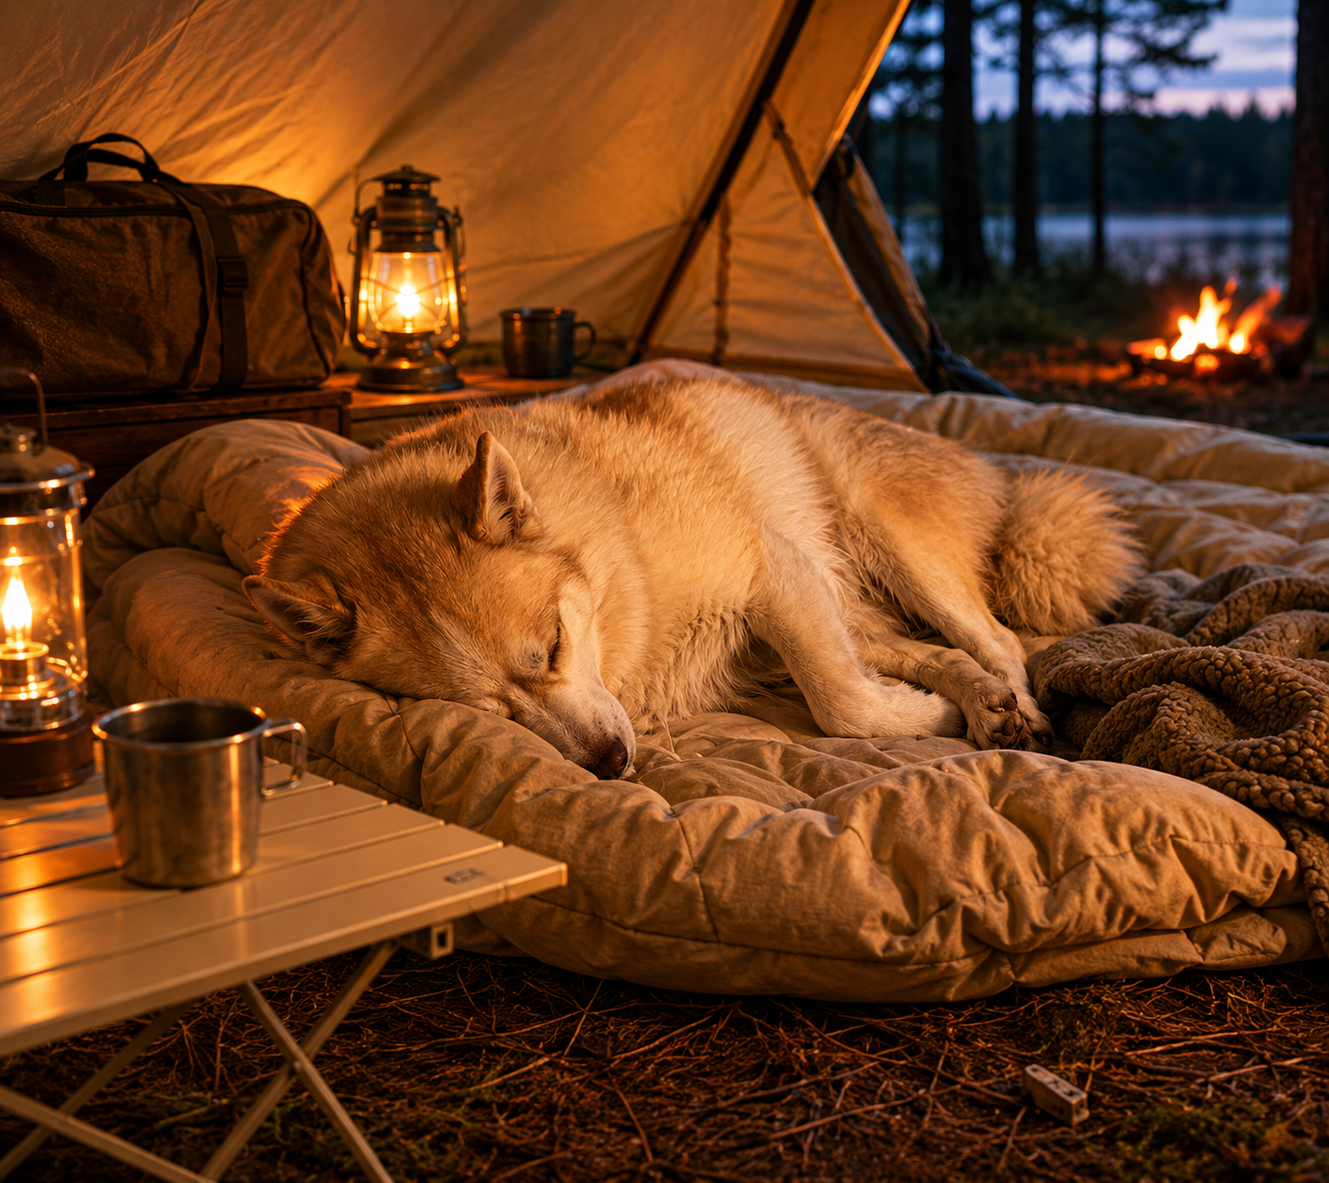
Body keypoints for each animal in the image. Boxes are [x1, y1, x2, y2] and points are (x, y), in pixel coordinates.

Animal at [243, 377, 1142, 779]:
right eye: (488, 710)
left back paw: (1020, 712)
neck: (619, 555)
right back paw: (980, 703)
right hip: (855, 604)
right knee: (938, 651)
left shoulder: (771, 570)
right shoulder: (794, 603)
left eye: (554, 645)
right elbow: (852, 694)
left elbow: (840, 703)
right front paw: (932, 712)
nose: (609, 763)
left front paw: (924, 718)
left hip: (883, 541)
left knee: (999, 639)